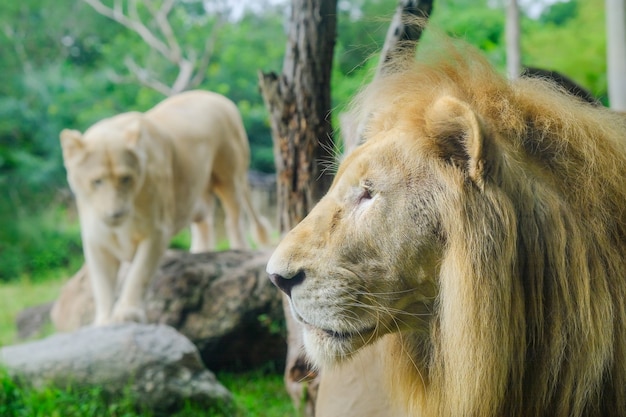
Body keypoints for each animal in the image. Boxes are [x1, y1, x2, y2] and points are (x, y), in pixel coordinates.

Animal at [60, 91, 270, 324]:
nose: (115, 213)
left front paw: (128, 313)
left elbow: (139, 274)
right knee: (204, 220)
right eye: (97, 181)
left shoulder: (156, 231)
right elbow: (102, 284)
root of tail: (218, 97)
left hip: (228, 174)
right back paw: (200, 251)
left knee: (233, 215)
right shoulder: (97, 239)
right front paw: (104, 321)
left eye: (125, 178)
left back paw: (239, 249)